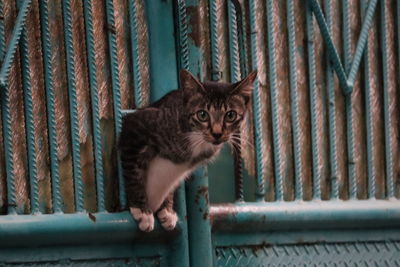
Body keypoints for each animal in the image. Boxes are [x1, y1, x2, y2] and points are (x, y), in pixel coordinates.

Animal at [118, 69, 256, 232]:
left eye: (230, 115)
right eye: (202, 114)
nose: (217, 134)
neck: (196, 139)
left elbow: (171, 185)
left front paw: (167, 210)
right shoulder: (134, 125)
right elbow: (134, 174)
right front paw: (142, 211)